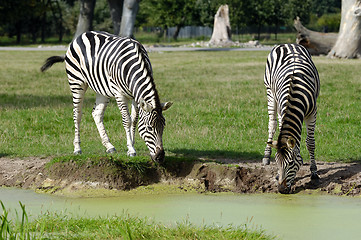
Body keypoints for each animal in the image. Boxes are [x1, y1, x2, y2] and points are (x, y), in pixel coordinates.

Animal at [40, 31, 172, 162]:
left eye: (163, 126)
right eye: (149, 128)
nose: (160, 157)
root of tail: (82, 35)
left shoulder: (136, 96)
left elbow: (134, 120)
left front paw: (131, 144)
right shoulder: (119, 94)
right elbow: (127, 120)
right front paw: (131, 149)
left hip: (102, 89)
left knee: (96, 114)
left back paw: (109, 146)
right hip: (76, 82)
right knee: (77, 115)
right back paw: (77, 148)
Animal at [260, 43, 320, 193]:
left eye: (291, 162)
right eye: (276, 161)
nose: (281, 190)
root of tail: (287, 44)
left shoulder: (312, 112)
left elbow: (310, 142)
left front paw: (314, 172)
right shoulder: (283, 111)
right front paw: (276, 174)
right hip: (270, 92)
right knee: (272, 124)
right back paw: (266, 156)